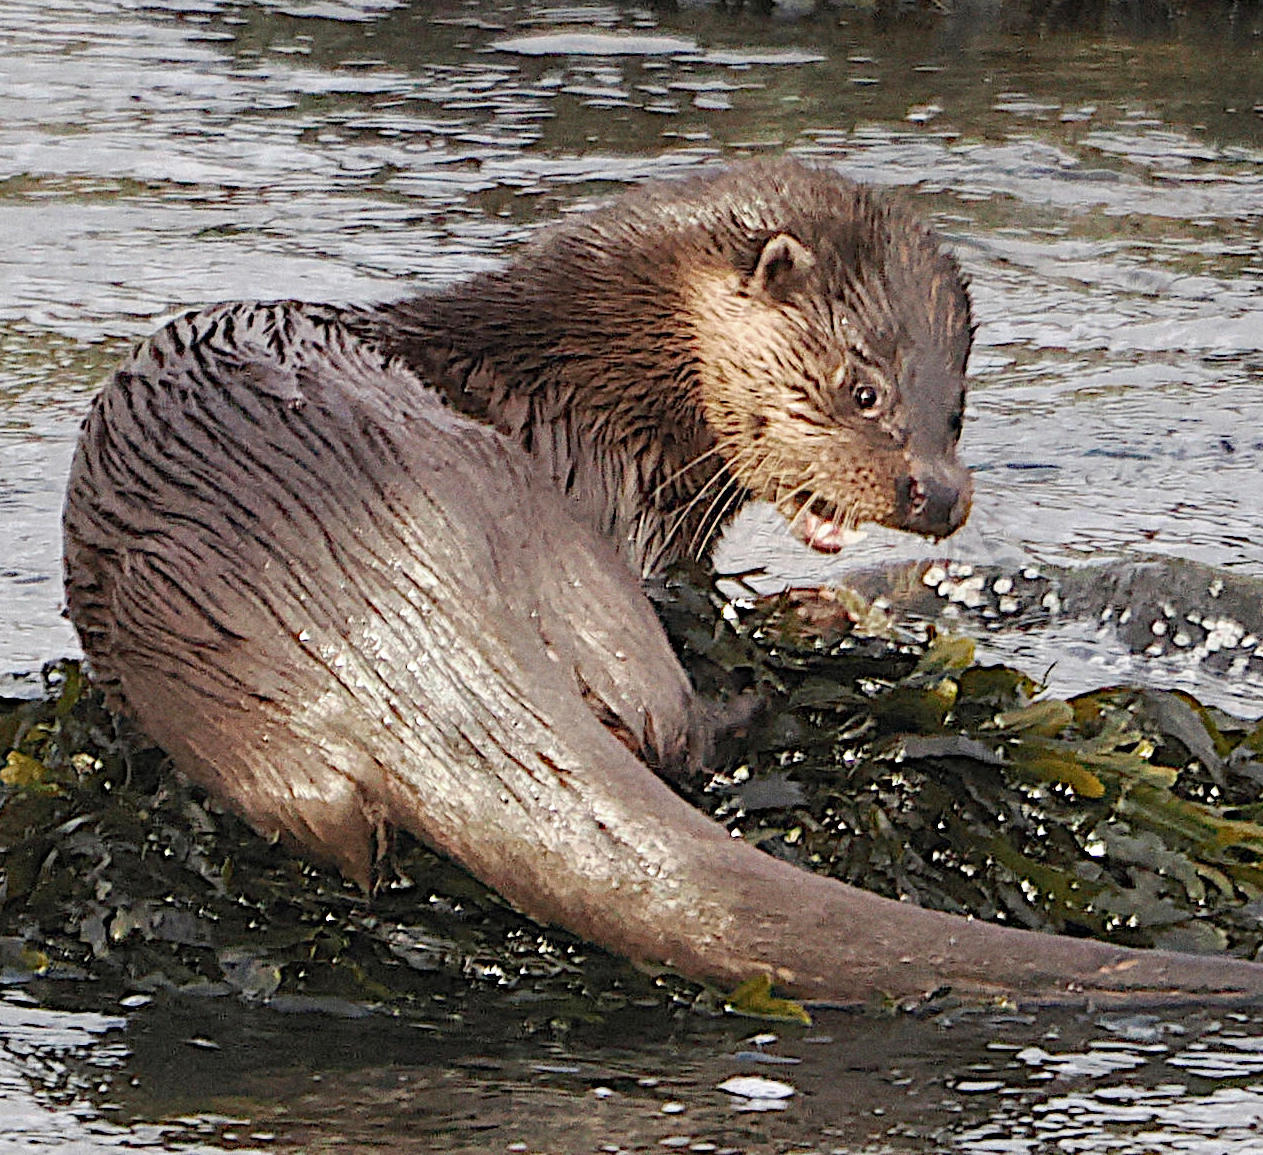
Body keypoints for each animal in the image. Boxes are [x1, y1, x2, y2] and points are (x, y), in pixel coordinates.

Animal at [62, 160, 1263, 1005]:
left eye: (958, 408)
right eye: (864, 389)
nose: (935, 494)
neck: (599, 380)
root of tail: (373, 589)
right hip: (570, 560)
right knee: (669, 723)